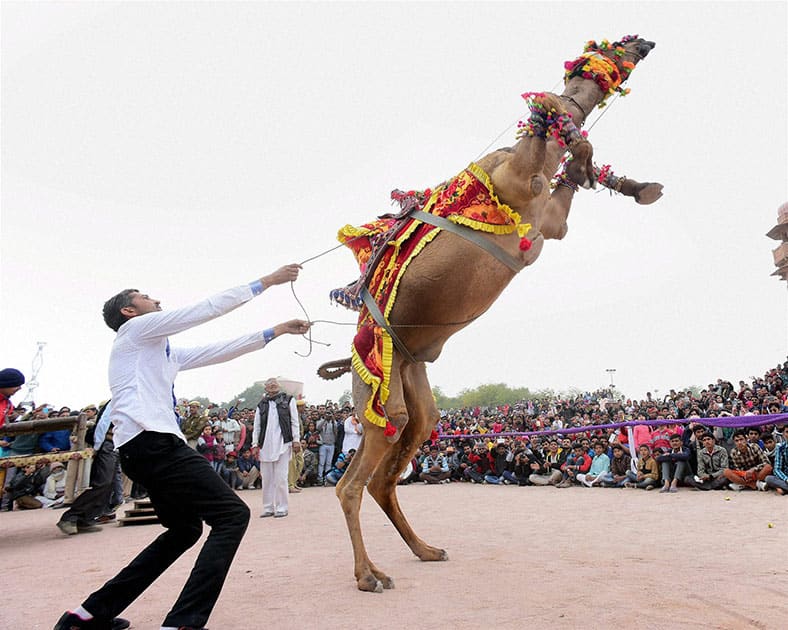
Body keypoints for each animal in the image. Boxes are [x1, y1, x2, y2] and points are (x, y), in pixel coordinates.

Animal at [318, 35, 660, 596]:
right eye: (614, 45)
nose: (645, 40)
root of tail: (354, 356)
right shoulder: (521, 182)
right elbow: (555, 105)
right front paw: (588, 156)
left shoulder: (548, 222)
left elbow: (569, 171)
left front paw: (613, 177)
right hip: (376, 391)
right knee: (352, 484)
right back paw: (369, 575)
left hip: (409, 375)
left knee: (394, 466)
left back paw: (425, 549)